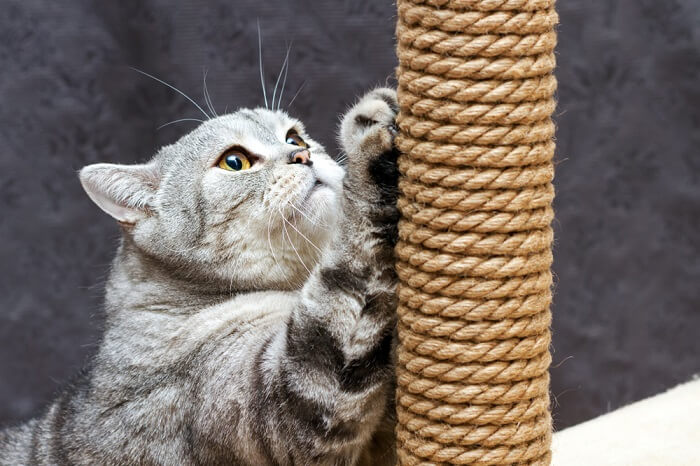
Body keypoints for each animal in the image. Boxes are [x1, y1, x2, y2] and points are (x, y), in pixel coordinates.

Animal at [0, 85, 402, 464]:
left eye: (294, 138)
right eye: (235, 162)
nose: (303, 155)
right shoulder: (297, 402)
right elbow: (355, 250)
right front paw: (370, 136)